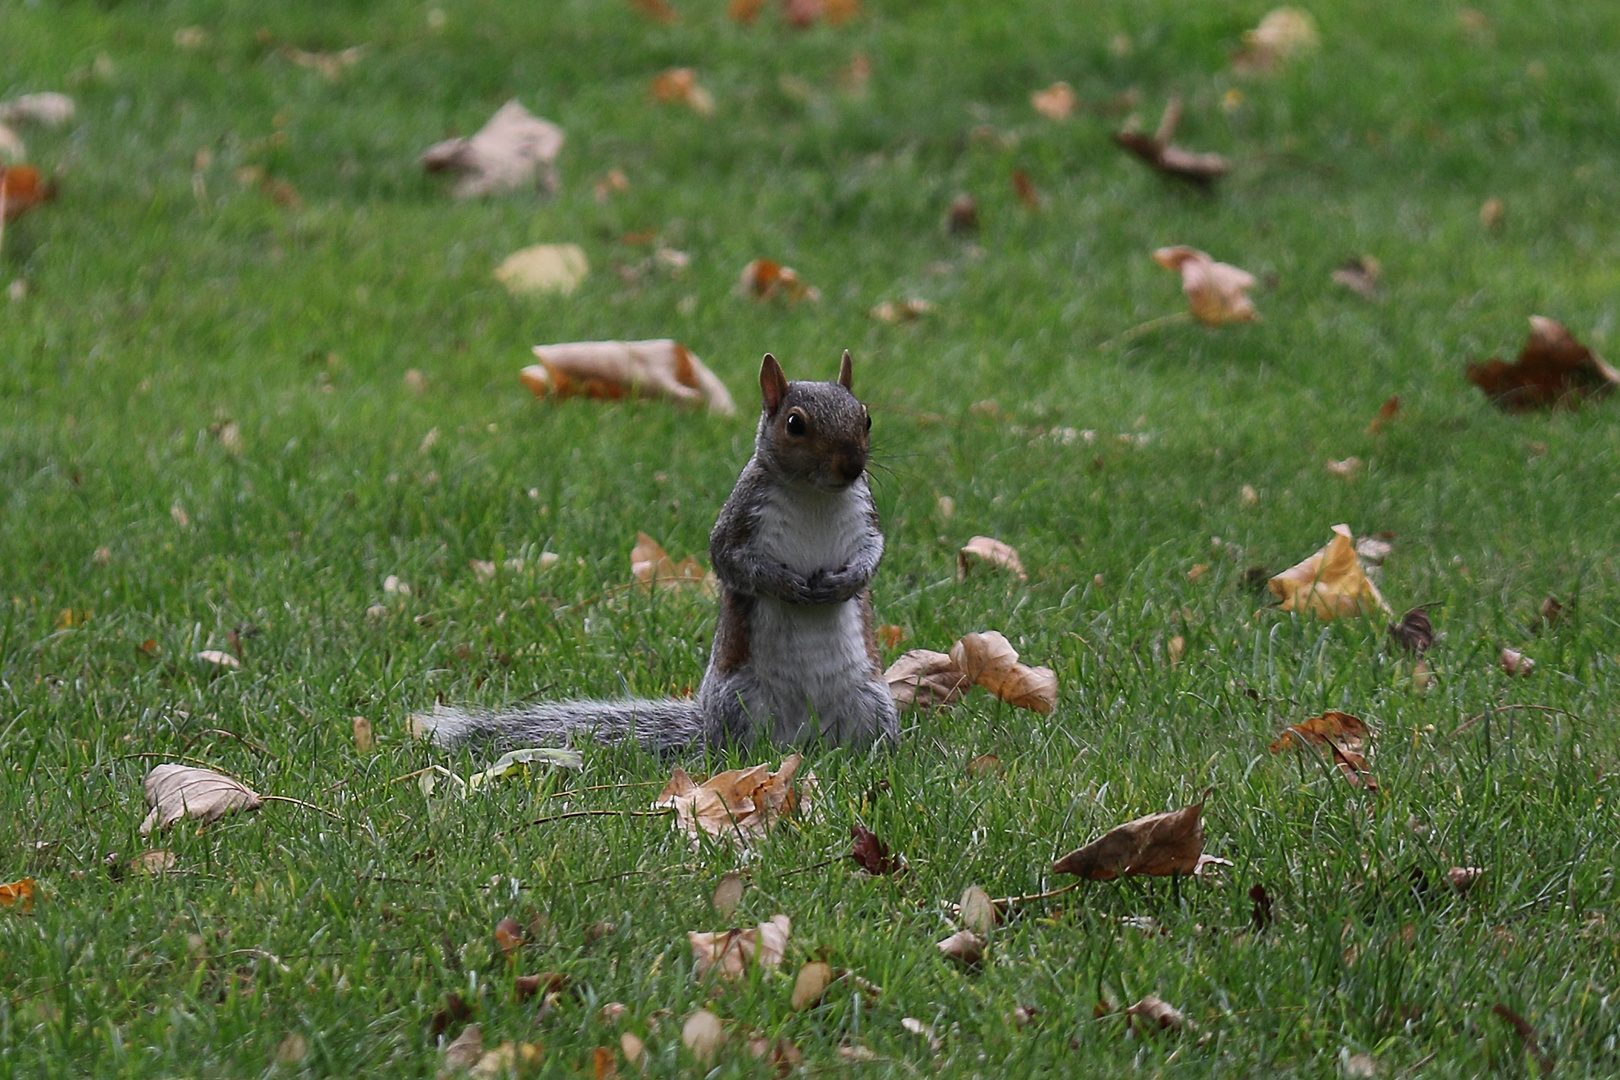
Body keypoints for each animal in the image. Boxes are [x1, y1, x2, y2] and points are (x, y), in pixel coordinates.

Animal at [417, 352, 900, 751]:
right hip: (739, 702)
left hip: (874, 702)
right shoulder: (740, 517)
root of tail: (805, 739)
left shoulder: (866, 514)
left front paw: (847, 582)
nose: (851, 465)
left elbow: (874, 553)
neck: (813, 494)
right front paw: (785, 584)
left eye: (866, 418)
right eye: (795, 424)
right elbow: (729, 560)